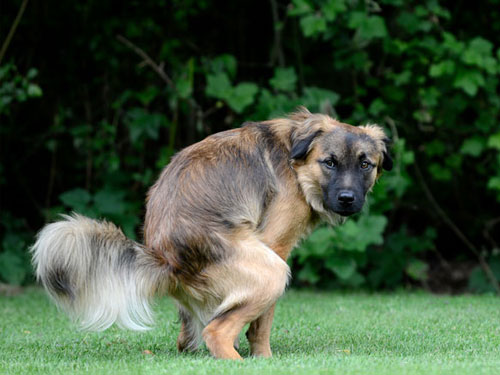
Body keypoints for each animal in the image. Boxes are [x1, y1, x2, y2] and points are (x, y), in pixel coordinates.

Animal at [31, 107, 392, 360]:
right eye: (329, 162)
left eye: (365, 164)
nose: (347, 199)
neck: (296, 162)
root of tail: (165, 259)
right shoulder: (275, 245)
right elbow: (262, 325)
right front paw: (265, 358)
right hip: (272, 271)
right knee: (216, 333)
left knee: (188, 340)